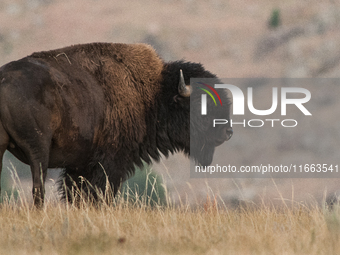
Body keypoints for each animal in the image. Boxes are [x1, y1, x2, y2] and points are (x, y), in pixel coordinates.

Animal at [0, 42, 232, 206]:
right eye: (200, 105)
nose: (227, 132)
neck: (152, 95)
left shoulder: (78, 166)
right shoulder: (110, 163)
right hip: (38, 149)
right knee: (38, 188)